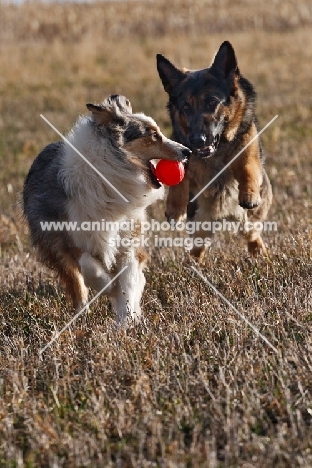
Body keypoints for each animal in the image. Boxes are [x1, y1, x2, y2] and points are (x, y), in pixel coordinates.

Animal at [23, 93, 190, 324]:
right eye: (153, 135)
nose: (187, 151)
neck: (111, 173)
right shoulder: (71, 237)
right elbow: (88, 267)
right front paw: (108, 288)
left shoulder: (128, 239)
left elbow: (128, 281)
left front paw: (126, 320)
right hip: (53, 247)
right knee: (76, 283)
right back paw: (82, 314)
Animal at [157, 41, 272, 260]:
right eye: (185, 106)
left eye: (212, 102)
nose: (197, 140)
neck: (216, 152)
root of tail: (225, 215)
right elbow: (179, 180)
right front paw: (175, 209)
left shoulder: (248, 153)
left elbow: (248, 168)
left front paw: (249, 194)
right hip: (200, 225)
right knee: (198, 248)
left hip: (250, 219)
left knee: (253, 234)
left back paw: (259, 253)